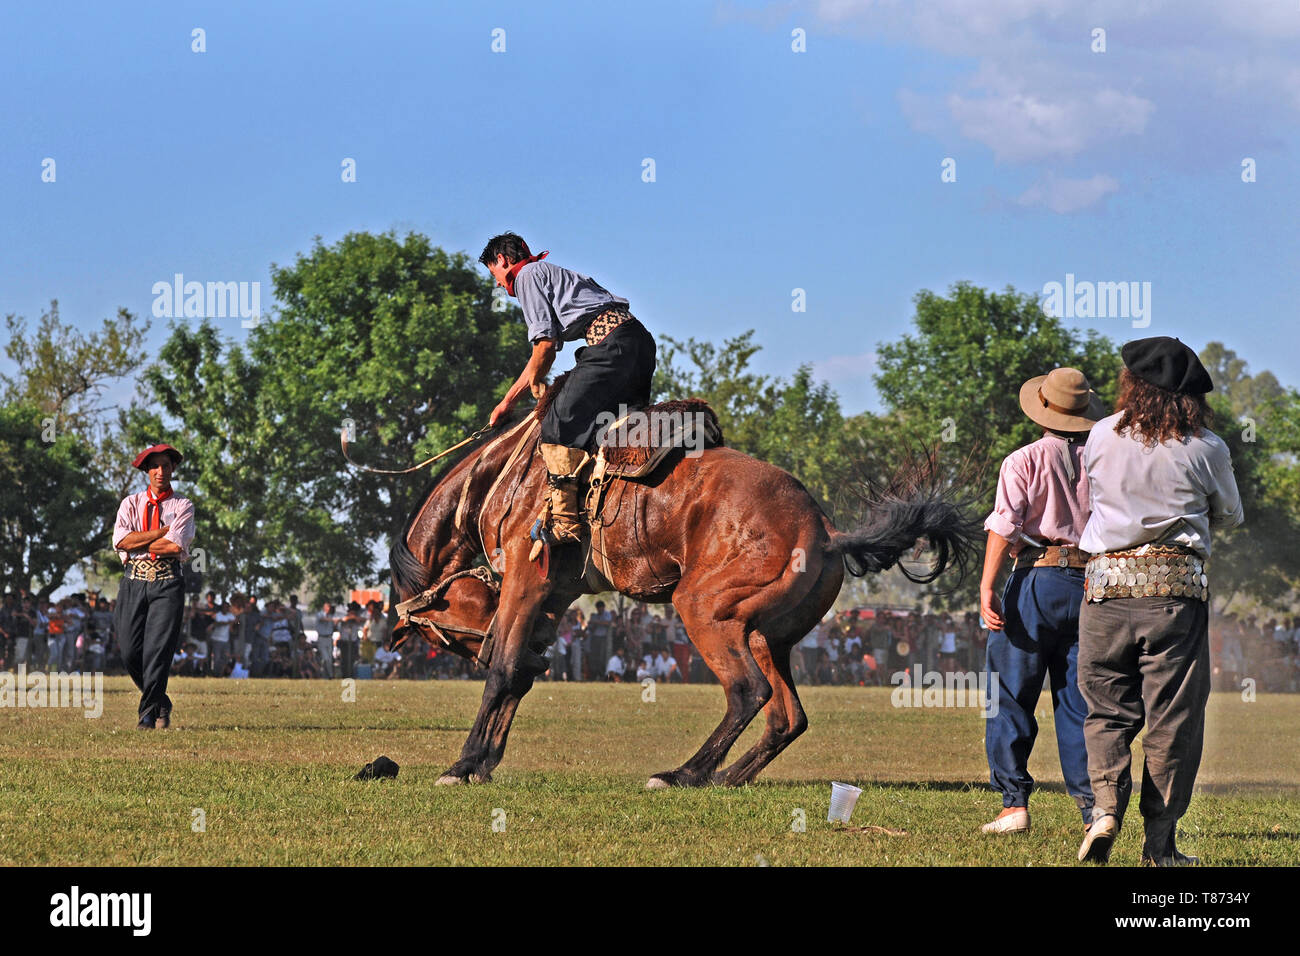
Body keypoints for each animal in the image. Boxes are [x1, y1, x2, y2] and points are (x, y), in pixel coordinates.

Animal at [384, 385, 977, 790]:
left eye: (442, 636)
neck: (500, 478)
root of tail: (827, 531)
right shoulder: (553, 598)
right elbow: (517, 676)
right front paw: (484, 760)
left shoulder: (528, 584)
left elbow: (504, 669)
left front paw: (463, 764)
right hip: (766, 635)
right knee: (787, 716)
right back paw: (727, 777)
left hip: (703, 610)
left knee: (749, 692)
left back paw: (683, 774)